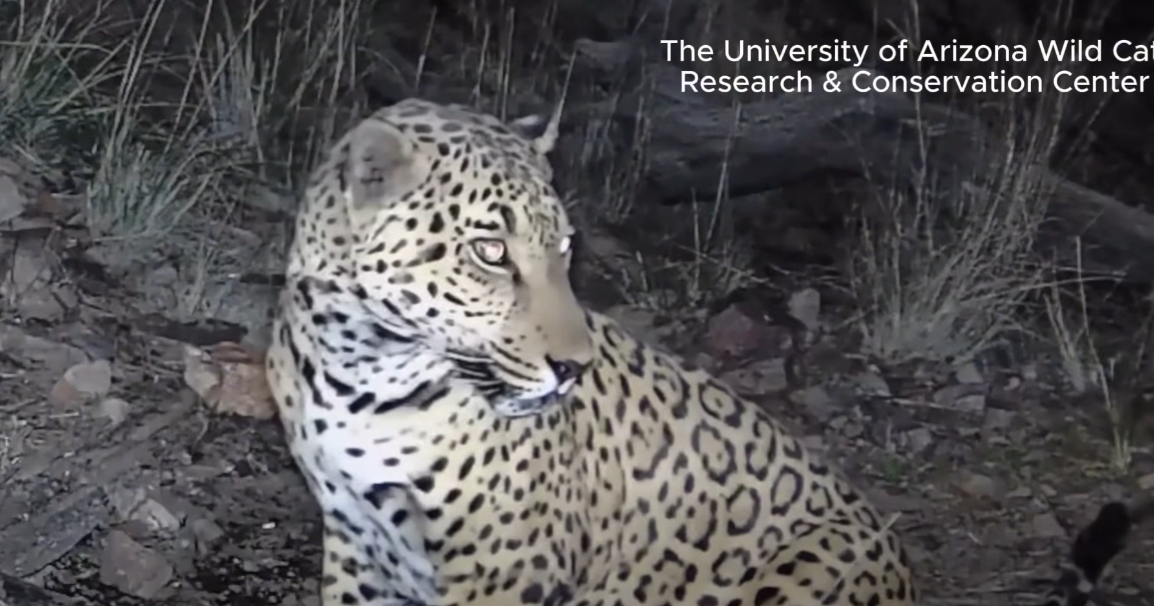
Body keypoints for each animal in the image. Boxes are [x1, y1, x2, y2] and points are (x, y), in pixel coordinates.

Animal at [264, 97, 1142, 606]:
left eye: (564, 250)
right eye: (489, 252)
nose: (574, 369)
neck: (360, 370)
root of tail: (905, 578)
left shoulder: (506, 567)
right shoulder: (356, 543)